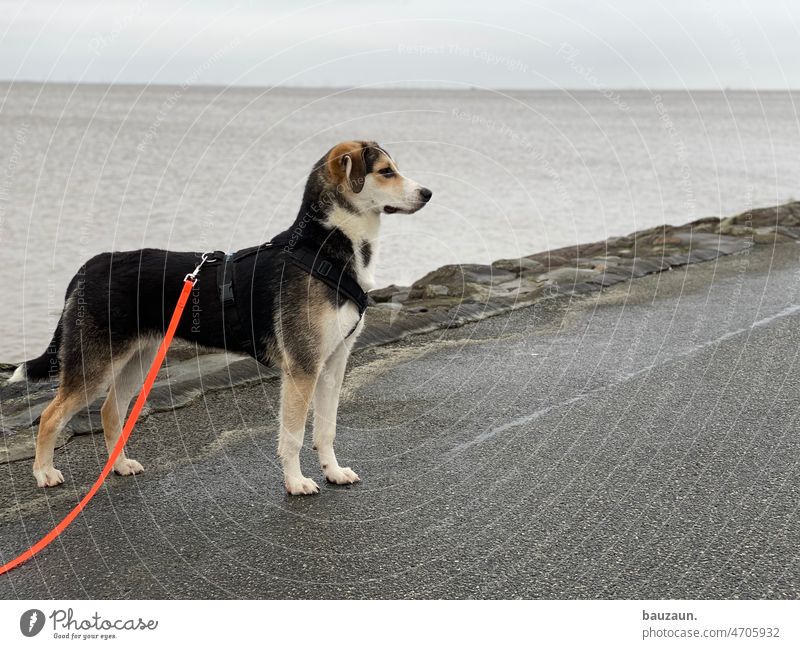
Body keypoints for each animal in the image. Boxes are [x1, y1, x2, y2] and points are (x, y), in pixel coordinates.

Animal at [7, 142, 432, 494]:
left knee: (111, 410)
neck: (322, 248)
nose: (428, 193)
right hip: (94, 363)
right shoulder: (302, 369)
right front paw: (296, 482)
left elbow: (325, 429)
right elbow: (293, 435)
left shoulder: (333, 364)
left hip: (138, 358)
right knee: (50, 415)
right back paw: (44, 473)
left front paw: (334, 472)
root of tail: (90, 266)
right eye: (386, 172)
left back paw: (120, 465)